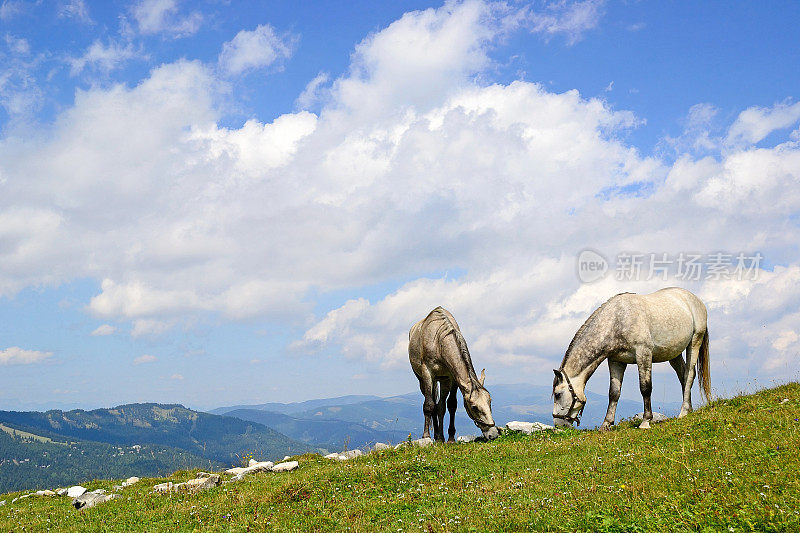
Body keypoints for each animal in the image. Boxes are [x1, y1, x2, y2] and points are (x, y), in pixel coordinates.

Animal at [410, 308, 496, 440]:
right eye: (474, 407)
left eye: (490, 401)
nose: (493, 434)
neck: (438, 342)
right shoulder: (427, 373)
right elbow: (429, 405)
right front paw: (426, 436)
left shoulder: (453, 378)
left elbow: (451, 405)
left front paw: (450, 438)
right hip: (423, 380)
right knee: (432, 403)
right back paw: (435, 436)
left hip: (443, 380)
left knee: (440, 406)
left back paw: (440, 437)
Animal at [552, 286, 712, 428]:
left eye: (558, 394)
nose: (558, 424)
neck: (617, 320)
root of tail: (695, 299)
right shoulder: (616, 361)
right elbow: (614, 392)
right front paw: (606, 424)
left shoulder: (643, 354)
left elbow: (645, 387)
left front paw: (646, 421)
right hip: (674, 353)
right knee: (683, 375)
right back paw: (688, 409)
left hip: (695, 341)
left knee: (689, 374)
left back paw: (683, 412)